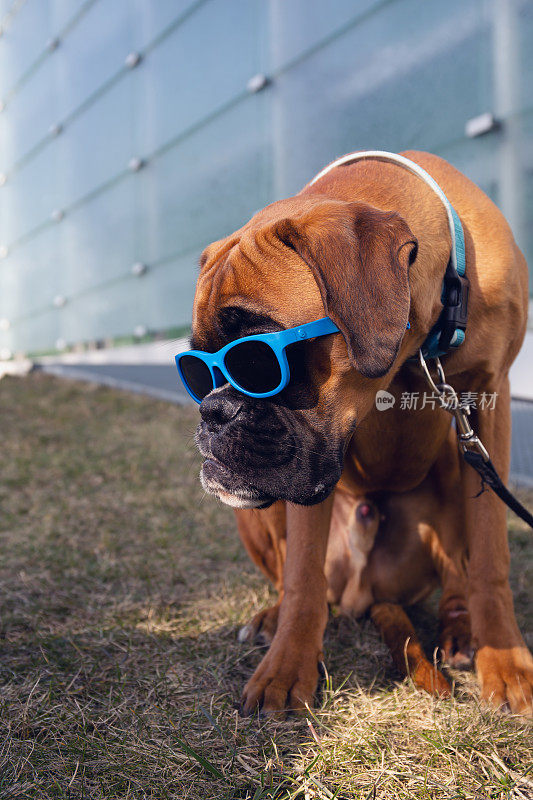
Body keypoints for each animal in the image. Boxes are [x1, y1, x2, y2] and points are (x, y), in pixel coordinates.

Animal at [189, 153, 528, 716]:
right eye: (195, 368)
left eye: (257, 359)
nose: (212, 411)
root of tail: (363, 592)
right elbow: (303, 575)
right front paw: (287, 668)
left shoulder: (488, 403)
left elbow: (490, 556)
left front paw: (504, 659)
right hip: (255, 517)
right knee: (293, 578)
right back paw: (271, 619)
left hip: (459, 468)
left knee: (458, 573)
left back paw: (460, 631)